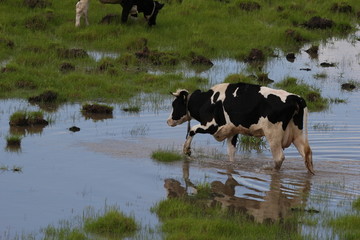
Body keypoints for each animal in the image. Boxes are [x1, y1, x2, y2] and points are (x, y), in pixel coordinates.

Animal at [167, 82, 314, 174]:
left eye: (175, 104)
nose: (168, 121)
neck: (207, 101)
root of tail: (295, 98)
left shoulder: (212, 125)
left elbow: (192, 130)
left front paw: (186, 150)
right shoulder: (232, 132)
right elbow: (231, 152)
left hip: (273, 135)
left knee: (279, 158)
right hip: (297, 134)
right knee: (307, 154)